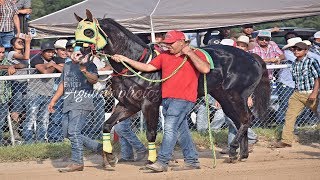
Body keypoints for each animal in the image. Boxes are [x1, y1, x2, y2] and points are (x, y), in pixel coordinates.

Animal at [73, 10, 270, 167]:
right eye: (75, 32)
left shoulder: (150, 104)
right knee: (239, 120)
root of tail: (252, 57)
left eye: (88, 31)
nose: (76, 55)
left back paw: (234, 149)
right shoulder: (128, 105)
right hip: (223, 97)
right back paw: (241, 154)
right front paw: (109, 157)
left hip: (236, 95)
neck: (136, 65)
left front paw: (152, 160)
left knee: (246, 118)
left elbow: (151, 133)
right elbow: (106, 125)